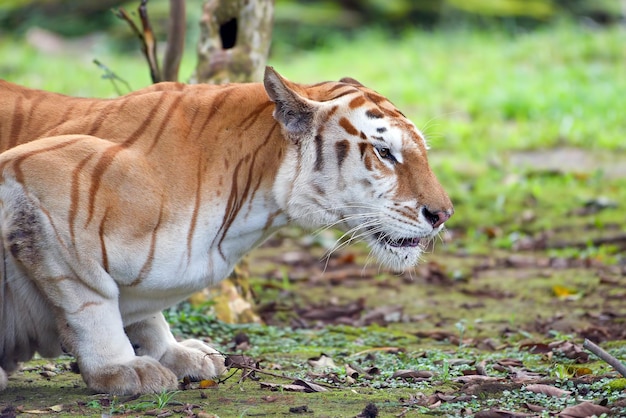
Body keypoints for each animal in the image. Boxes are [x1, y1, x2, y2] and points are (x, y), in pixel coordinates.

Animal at [0, 66, 448, 396]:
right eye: (384, 152)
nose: (443, 214)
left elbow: (145, 312)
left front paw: (175, 352)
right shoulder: (34, 177)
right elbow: (92, 300)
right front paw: (121, 367)